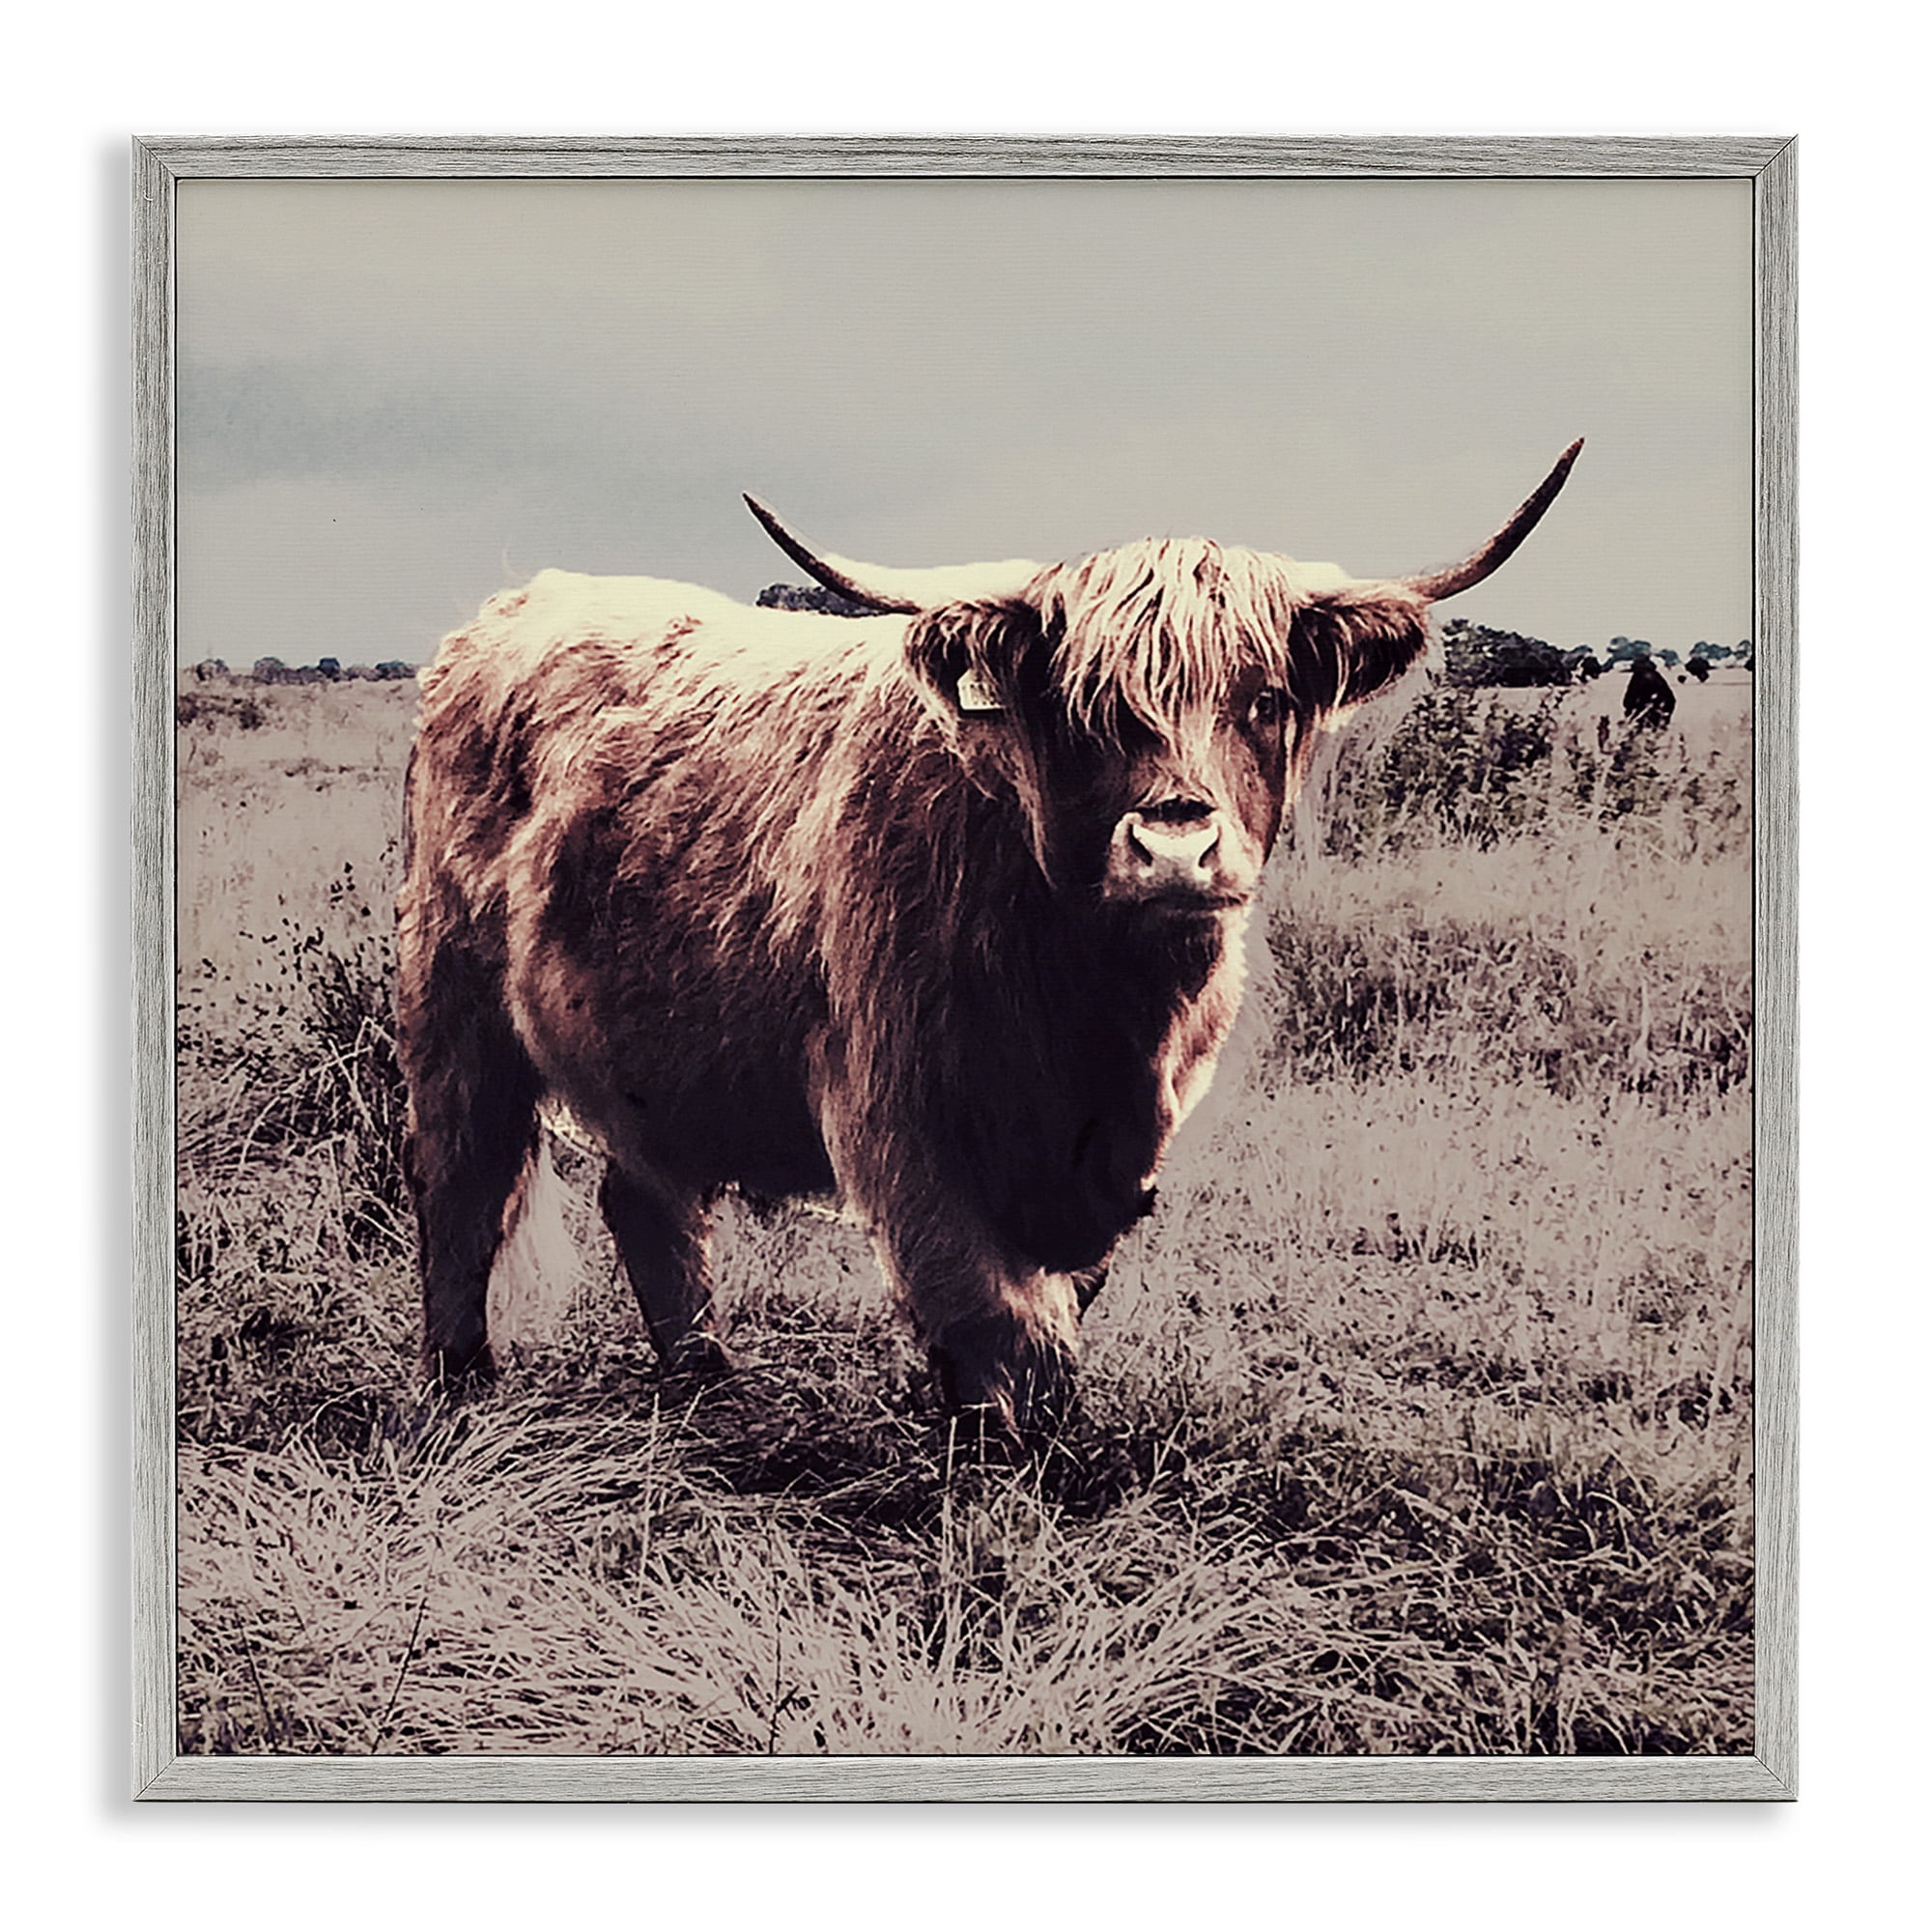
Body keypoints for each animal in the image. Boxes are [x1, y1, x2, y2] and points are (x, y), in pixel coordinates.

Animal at [397, 443, 1581, 1437]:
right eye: (1083, 709)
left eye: (1264, 698)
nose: (1173, 846)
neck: (1097, 1013)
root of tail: (514, 606)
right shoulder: (900, 1116)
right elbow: (993, 1316)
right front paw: (998, 1461)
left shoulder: (1120, 1151)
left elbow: (1058, 1302)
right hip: (452, 1001)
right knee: (462, 1180)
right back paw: (461, 1385)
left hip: (648, 1045)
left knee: (645, 1196)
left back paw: (707, 1384)